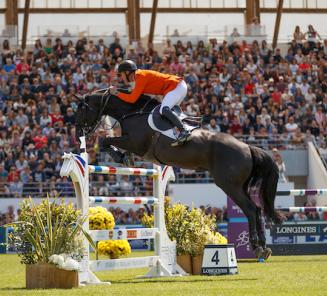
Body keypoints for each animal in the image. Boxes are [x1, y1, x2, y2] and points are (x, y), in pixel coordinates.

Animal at [75, 89, 284, 260]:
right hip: (241, 186)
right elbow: (108, 141)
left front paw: (121, 156)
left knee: (250, 209)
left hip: (229, 185)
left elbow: (105, 140)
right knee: (257, 209)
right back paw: (264, 247)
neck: (132, 113)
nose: (78, 133)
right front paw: (124, 157)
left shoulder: (136, 143)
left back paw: (257, 247)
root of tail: (247, 147)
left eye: (81, 109)